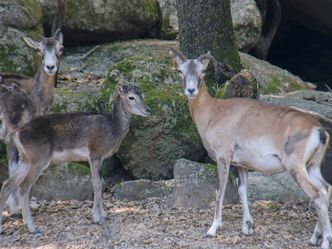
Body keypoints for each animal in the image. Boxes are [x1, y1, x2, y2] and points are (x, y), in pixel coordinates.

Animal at [0, 83, 149, 233]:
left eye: (143, 94)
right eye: (131, 97)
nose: (148, 109)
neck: (113, 127)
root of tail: (16, 134)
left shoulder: (100, 157)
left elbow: (100, 182)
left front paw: (103, 213)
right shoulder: (95, 153)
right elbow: (97, 183)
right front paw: (97, 216)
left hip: (25, 159)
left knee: (8, 183)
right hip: (38, 159)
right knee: (23, 186)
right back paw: (33, 227)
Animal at [171, 49, 332, 249]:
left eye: (202, 71)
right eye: (180, 71)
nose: (191, 90)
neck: (214, 112)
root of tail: (319, 131)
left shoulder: (223, 158)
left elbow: (220, 191)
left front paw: (212, 229)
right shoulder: (242, 166)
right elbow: (243, 191)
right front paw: (247, 227)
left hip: (296, 168)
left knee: (317, 194)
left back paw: (324, 241)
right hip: (312, 167)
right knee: (326, 189)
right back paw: (315, 237)